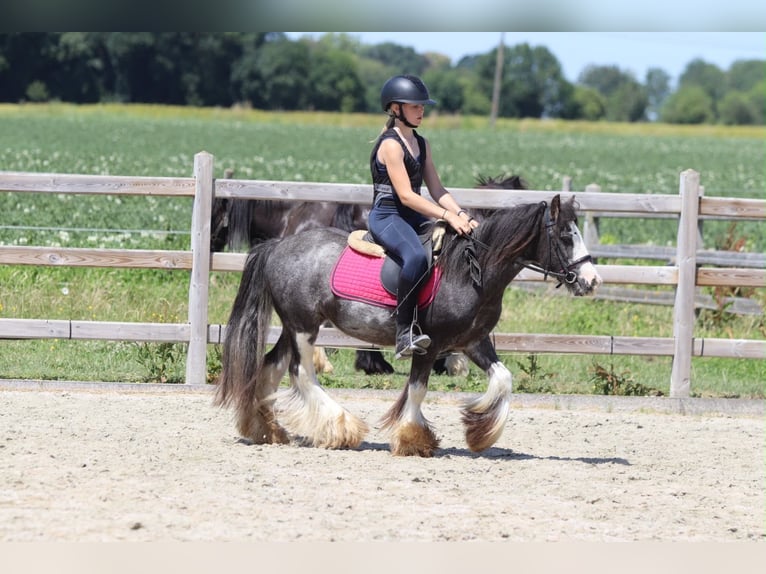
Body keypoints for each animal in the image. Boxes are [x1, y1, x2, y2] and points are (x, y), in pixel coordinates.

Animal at [215, 194, 602, 456]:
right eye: (565, 237)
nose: (591, 280)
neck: (469, 273)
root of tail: (278, 245)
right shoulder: (429, 344)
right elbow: (417, 389)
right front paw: (414, 438)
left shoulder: (473, 342)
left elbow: (504, 379)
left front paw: (479, 430)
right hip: (304, 327)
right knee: (301, 373)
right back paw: (342, 429)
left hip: (293, 326)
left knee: (272, 366)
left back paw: (267, 429)